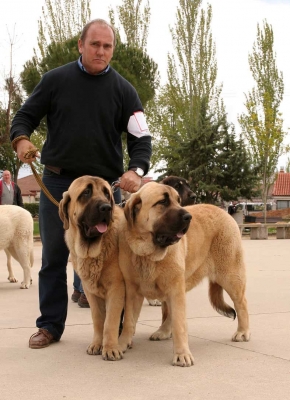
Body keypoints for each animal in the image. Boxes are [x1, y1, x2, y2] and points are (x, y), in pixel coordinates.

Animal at [59, 177, 124, 360]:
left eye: (106, 193)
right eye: (86, 192)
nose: (106, 207)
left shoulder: (116, 290)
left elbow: (110, 321)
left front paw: (110, 348)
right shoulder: (90, 292)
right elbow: (98, 319)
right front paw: (97, 344)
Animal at [118, 183, 249, 368]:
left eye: (178, 201)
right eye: (163, 202)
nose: (189, 217)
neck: (148, 254)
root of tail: (224, 212)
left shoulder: (175, 289)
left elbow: (180, 324)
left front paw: (181, 354)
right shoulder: (133, 292)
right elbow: (129, 321)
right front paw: (121, 344)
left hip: (230, 276)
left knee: (242, 303)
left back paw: (243, 332)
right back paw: (163, 331)